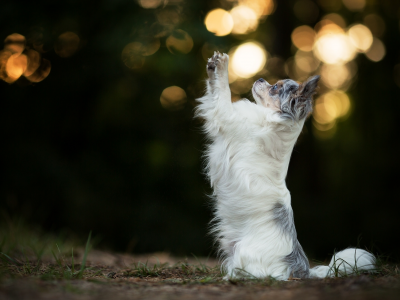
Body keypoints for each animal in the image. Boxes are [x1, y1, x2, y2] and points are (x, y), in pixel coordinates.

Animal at [195, 51, 376, 278]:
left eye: (275, 88)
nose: (260, 78)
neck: (275, 120)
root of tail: (302, 270)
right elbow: (214, 91)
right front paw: (213, 67)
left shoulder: (226, 116)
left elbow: (223, 92)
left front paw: (221, 66)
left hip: (246, 254)